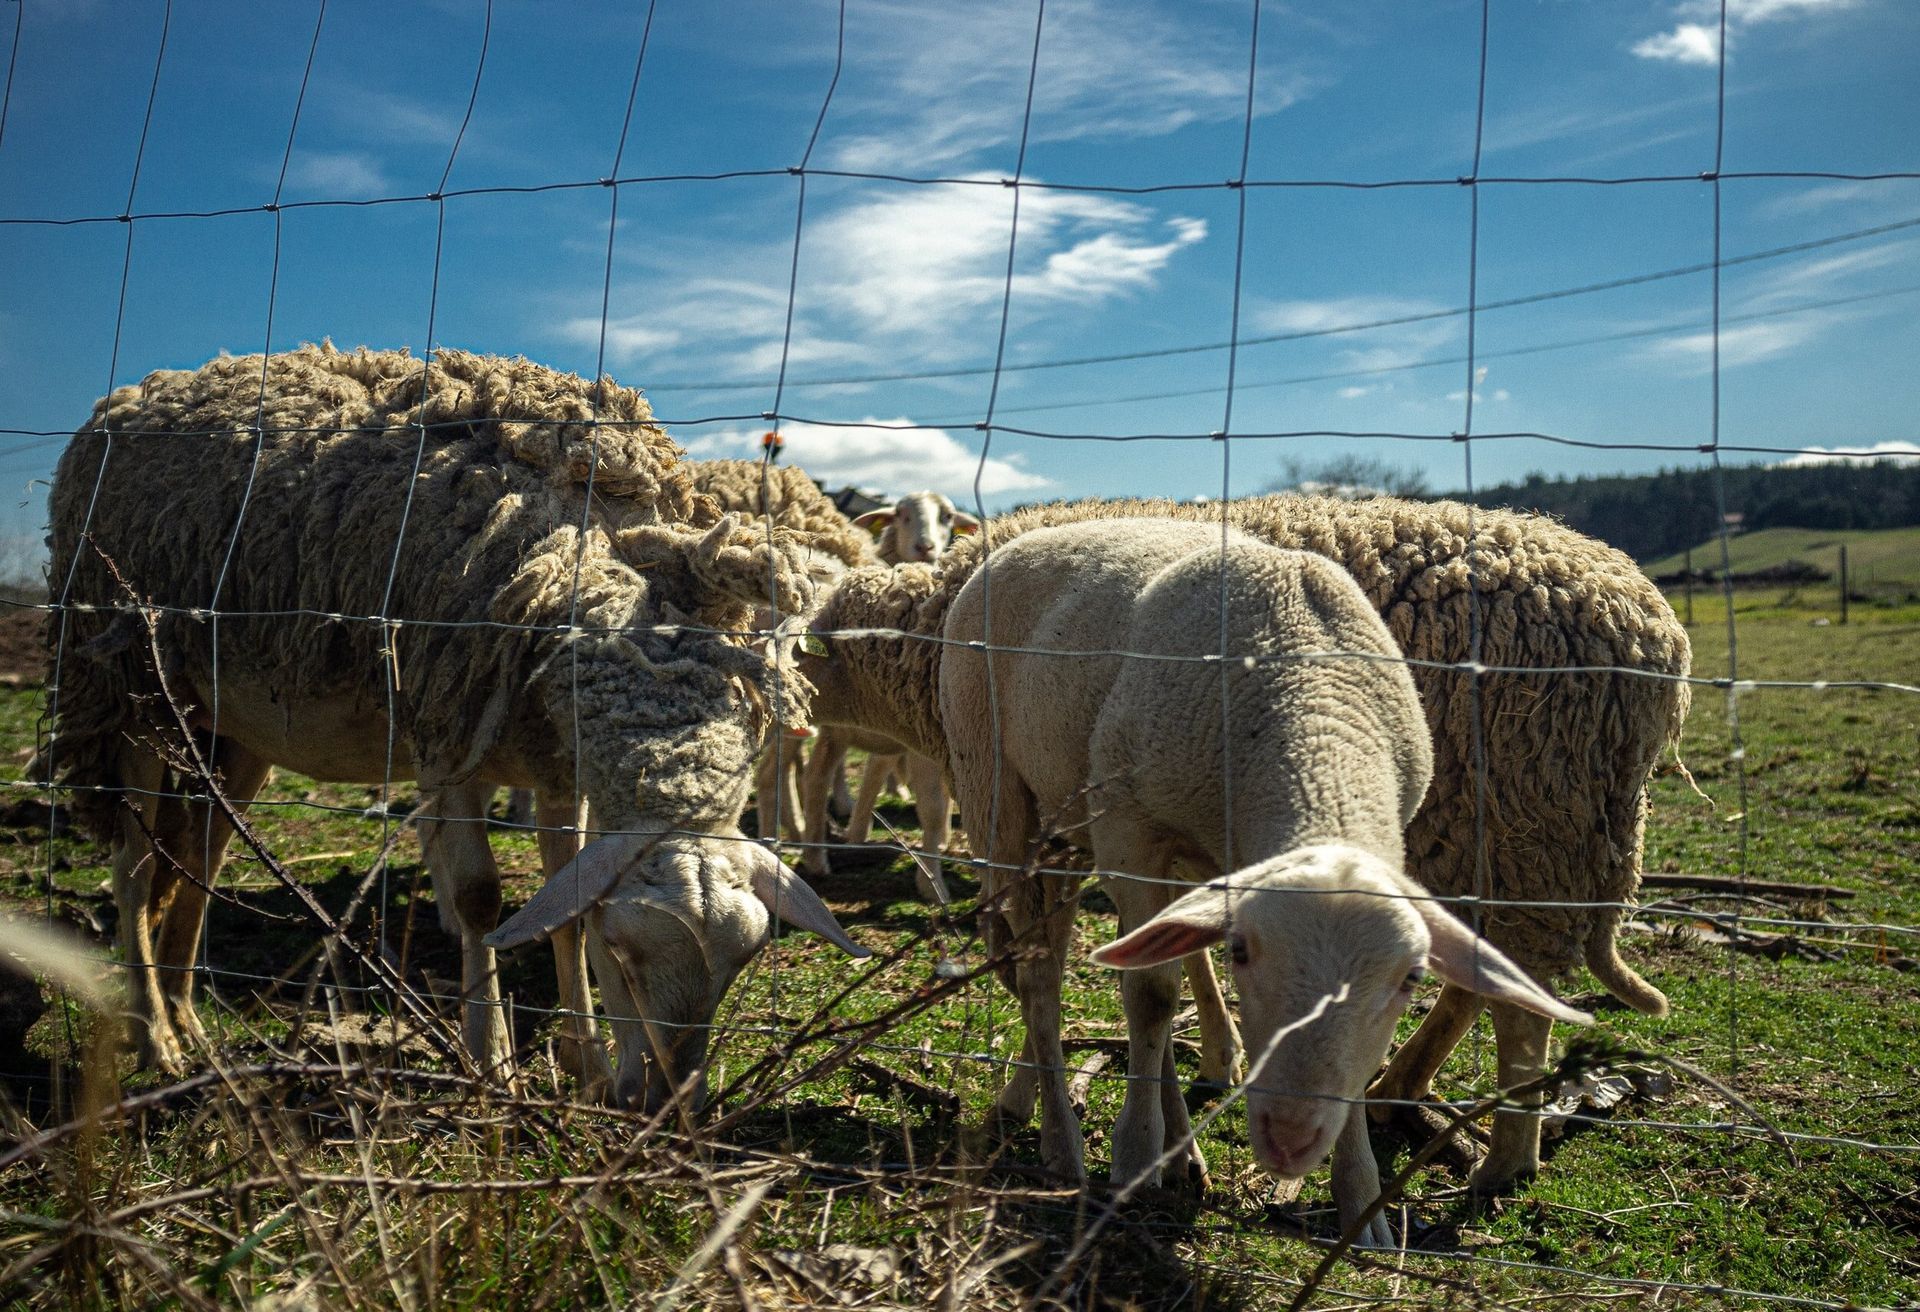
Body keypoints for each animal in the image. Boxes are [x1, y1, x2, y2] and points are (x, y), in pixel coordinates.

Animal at [43, 344, 866, 1109]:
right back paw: (155, 1036)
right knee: (135, 864)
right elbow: (480, 899)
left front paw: (587, 1066)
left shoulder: (555, 759)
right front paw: (493, 1061)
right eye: (622, 950)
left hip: (235, 729)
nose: (666, 1106)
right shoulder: (444, 733)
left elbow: (560, 902)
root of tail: (141, 389)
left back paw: (188, 1019)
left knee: (200, 857)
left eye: (743, 958)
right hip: (128, 686)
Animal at [800, 493, 1689, 1191]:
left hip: (1530, 824)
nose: (790, 712)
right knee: (1485, 977)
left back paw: (1501, 1157)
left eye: (816, 647)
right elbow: (1170, 963)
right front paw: (1204, 1071)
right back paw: (1406, 1091)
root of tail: (1657, 638)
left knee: (1519, 1007)